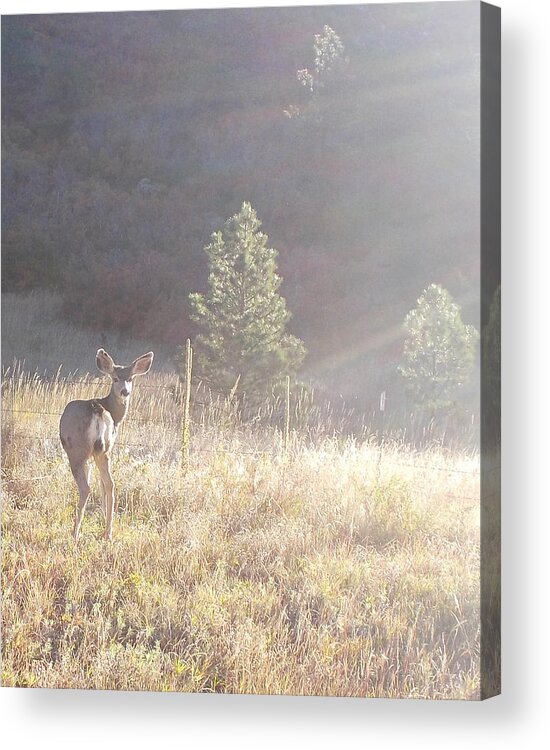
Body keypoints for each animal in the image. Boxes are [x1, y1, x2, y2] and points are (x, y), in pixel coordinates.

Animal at [60, 350, 154, 544]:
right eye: (116, 378)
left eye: (130, 378)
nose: (125, 391)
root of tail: (99, 410)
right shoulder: (103, 450)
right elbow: (102, 483)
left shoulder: (88, 454)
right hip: (103, 450)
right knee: (110, 483)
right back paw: (108, 532)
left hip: (77, 450)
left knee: (86, 487)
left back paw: (75, 533)